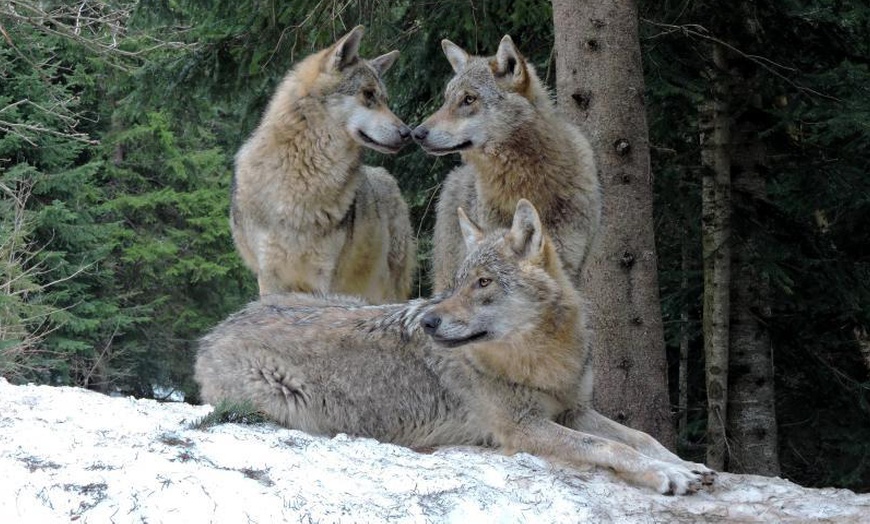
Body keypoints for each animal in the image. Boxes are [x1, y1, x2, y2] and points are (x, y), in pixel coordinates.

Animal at [196, 199, 716, 494]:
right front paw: (667, 475)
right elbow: (611, 447)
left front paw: (688, 464)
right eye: (458, 282)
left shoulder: (571, 410)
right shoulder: (522, 428)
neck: (543, 359)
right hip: (286, 400)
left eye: (483, 282)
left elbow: (641, 438)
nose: (428, 320)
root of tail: (214, 330)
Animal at [233, 24, 418, 302]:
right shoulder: (269, 278)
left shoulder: (324, 277)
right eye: (368, 95)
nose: (408, 133)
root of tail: (386, 176)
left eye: (385, 99)